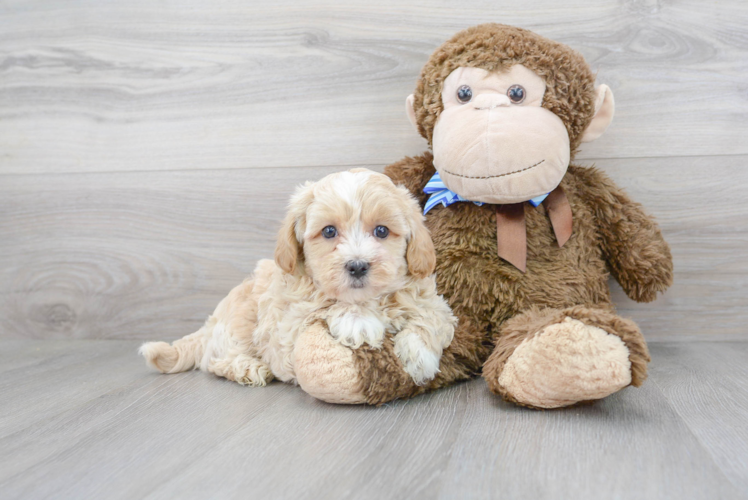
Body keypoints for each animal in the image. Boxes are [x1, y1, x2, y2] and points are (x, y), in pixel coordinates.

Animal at [140, 168, 456, 386]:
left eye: (381, 231)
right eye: (328, 231)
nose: (357, 266)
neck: (368, 299)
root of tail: (208, 325)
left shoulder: (434, 304)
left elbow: (429, 318)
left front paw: (419, 356)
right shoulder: (285, 332)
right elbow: (326, 308)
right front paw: (358, 321)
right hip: (238, 325)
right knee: (215, 360)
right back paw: (247, 367)